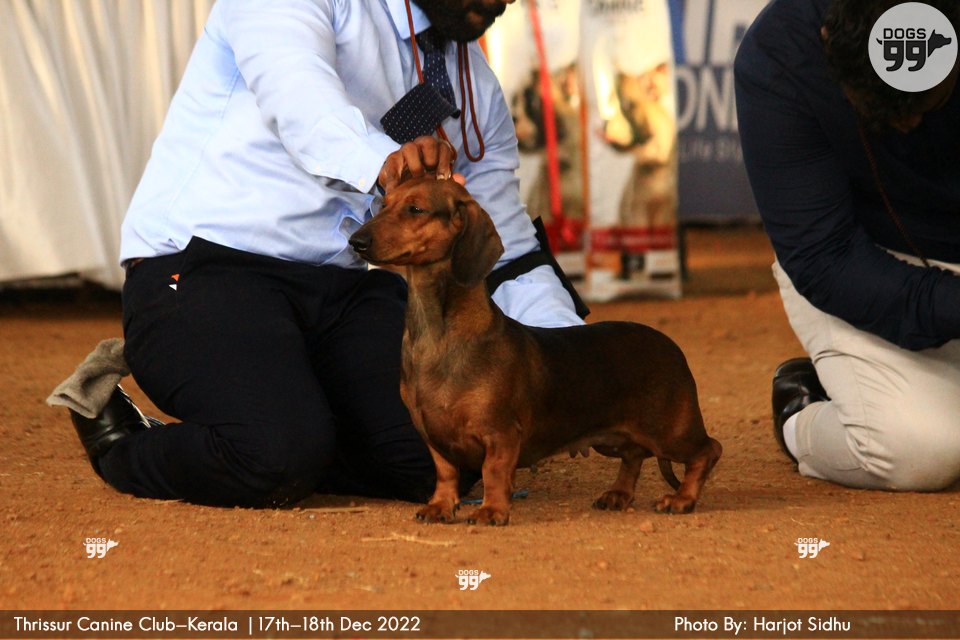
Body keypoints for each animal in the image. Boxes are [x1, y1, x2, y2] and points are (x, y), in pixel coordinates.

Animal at [348, 177, 721, 525]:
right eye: (383, 204)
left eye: (415, 209)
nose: (356, 241)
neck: (439, 335)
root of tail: (670, 346)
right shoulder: (433, 437)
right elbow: (446, 472)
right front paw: (440, 507)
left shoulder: (500, 434)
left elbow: (493, 473)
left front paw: (491, 511)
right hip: (616, 438)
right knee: (633, 456)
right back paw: (618, 494)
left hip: (669, 432)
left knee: (707, 450)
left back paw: (681, 499)